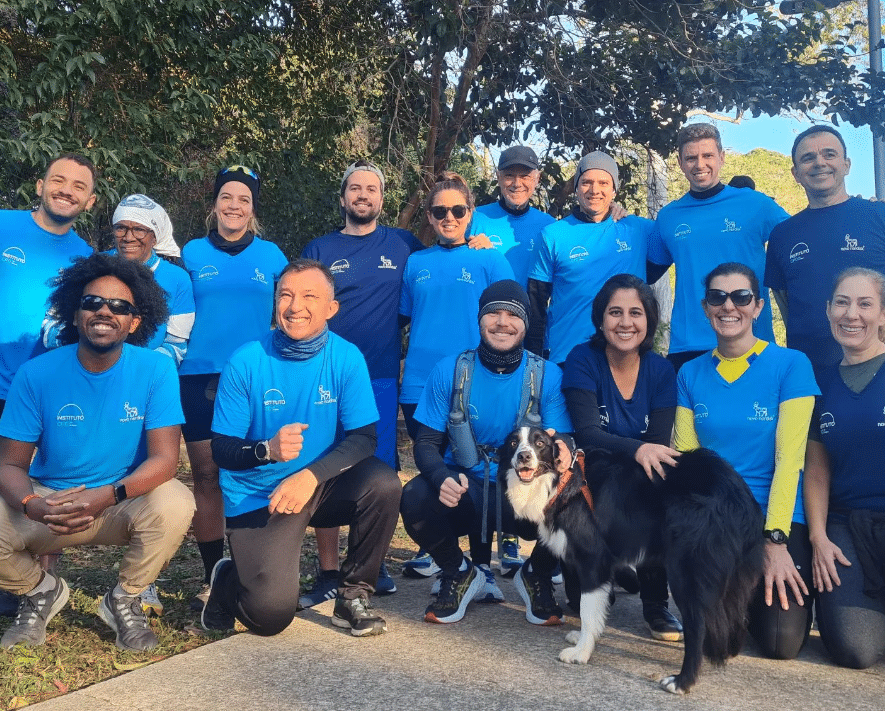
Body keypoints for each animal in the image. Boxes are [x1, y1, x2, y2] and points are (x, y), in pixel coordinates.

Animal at [500, 428, 764, 696]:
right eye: (513, 443)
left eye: (540, 443)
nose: (523, 456)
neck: (561, 480)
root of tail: (741, 496)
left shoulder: (593, 560)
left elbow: (588, 611)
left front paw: (581, 652)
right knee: (736, 616)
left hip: (686, 572)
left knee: (698, 626)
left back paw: (682, 681)